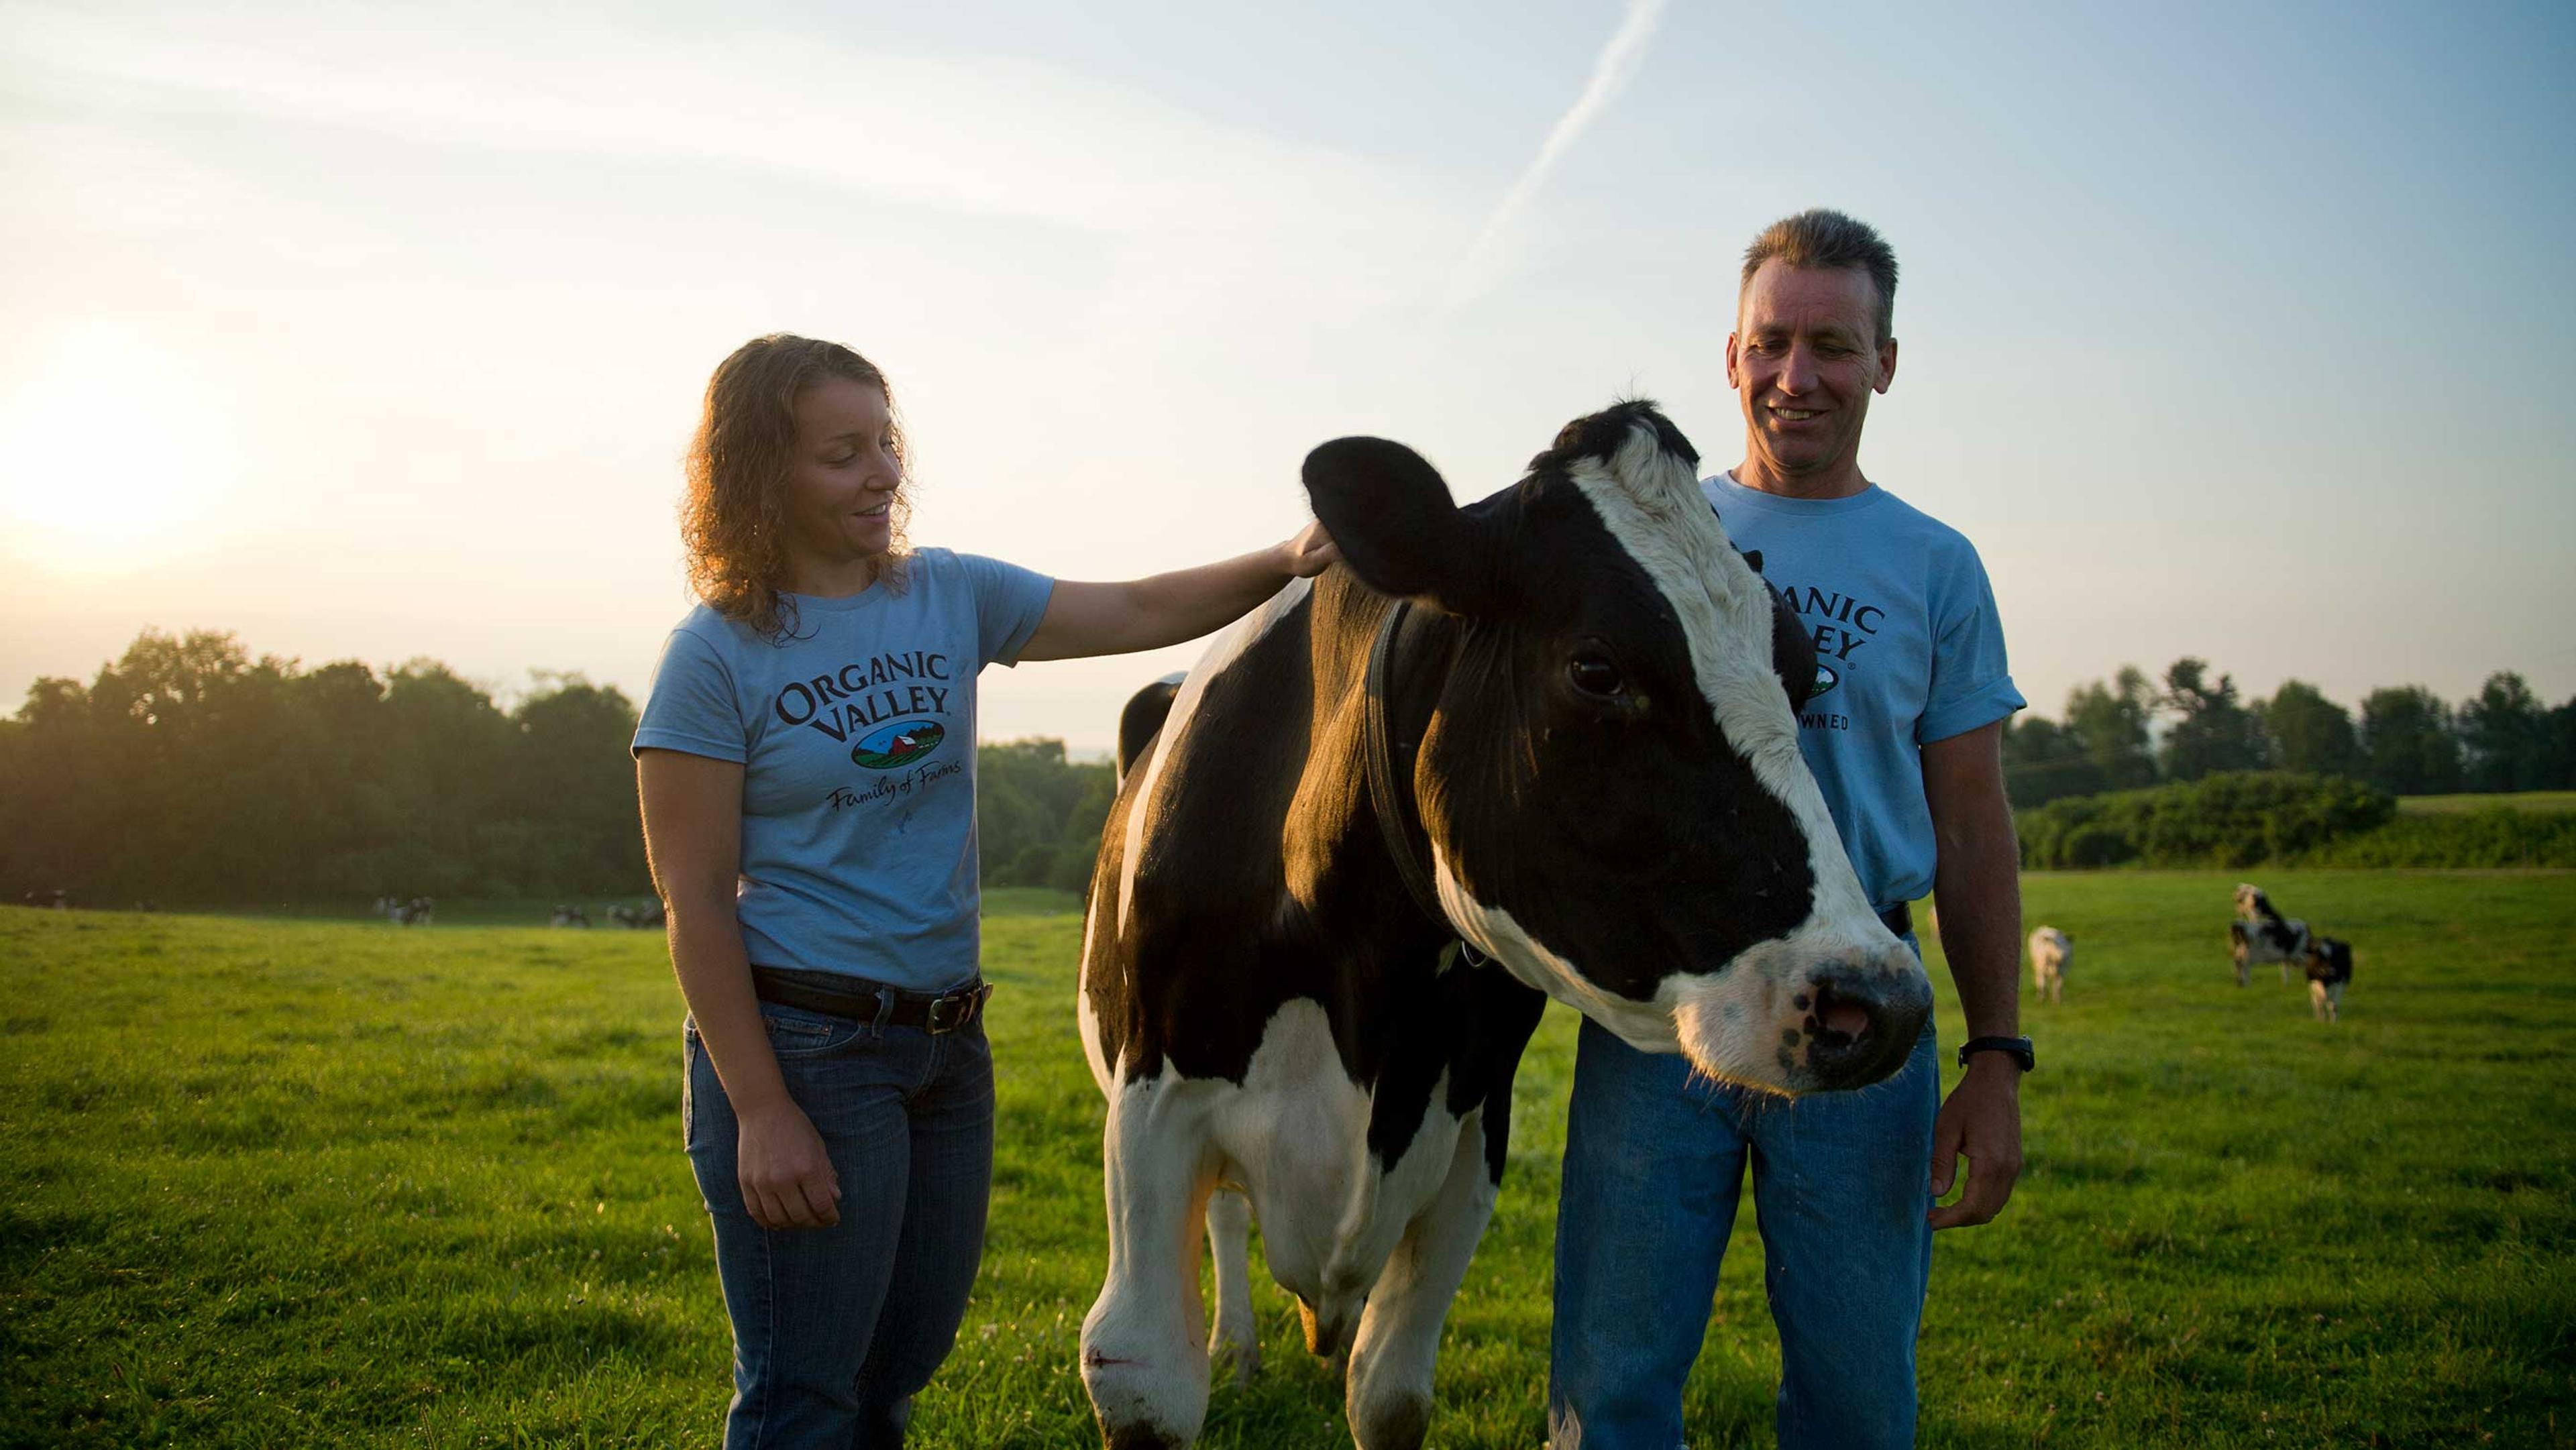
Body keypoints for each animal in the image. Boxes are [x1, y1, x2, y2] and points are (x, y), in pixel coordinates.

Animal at [1066, 402, 1937, 1450]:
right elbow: (1146, 1367)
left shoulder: (1474, 1133)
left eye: (1805, 673)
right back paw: (1236, 1345)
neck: (1369, 990)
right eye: (1596, 667)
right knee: (1228, 1223)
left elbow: (1389, 1391)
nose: (1880, 1002)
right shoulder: (1150, 1111)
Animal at [2308, 937, 2349, 1025]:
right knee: (2315, 1002)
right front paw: (2321, 1021)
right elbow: (2320, 1003)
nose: (2329, 971)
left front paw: (2333, 1023)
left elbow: (2333, 1005)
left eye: (2336, 957)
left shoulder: (2339, 984)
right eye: (2320, 956)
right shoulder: (2315, 983)